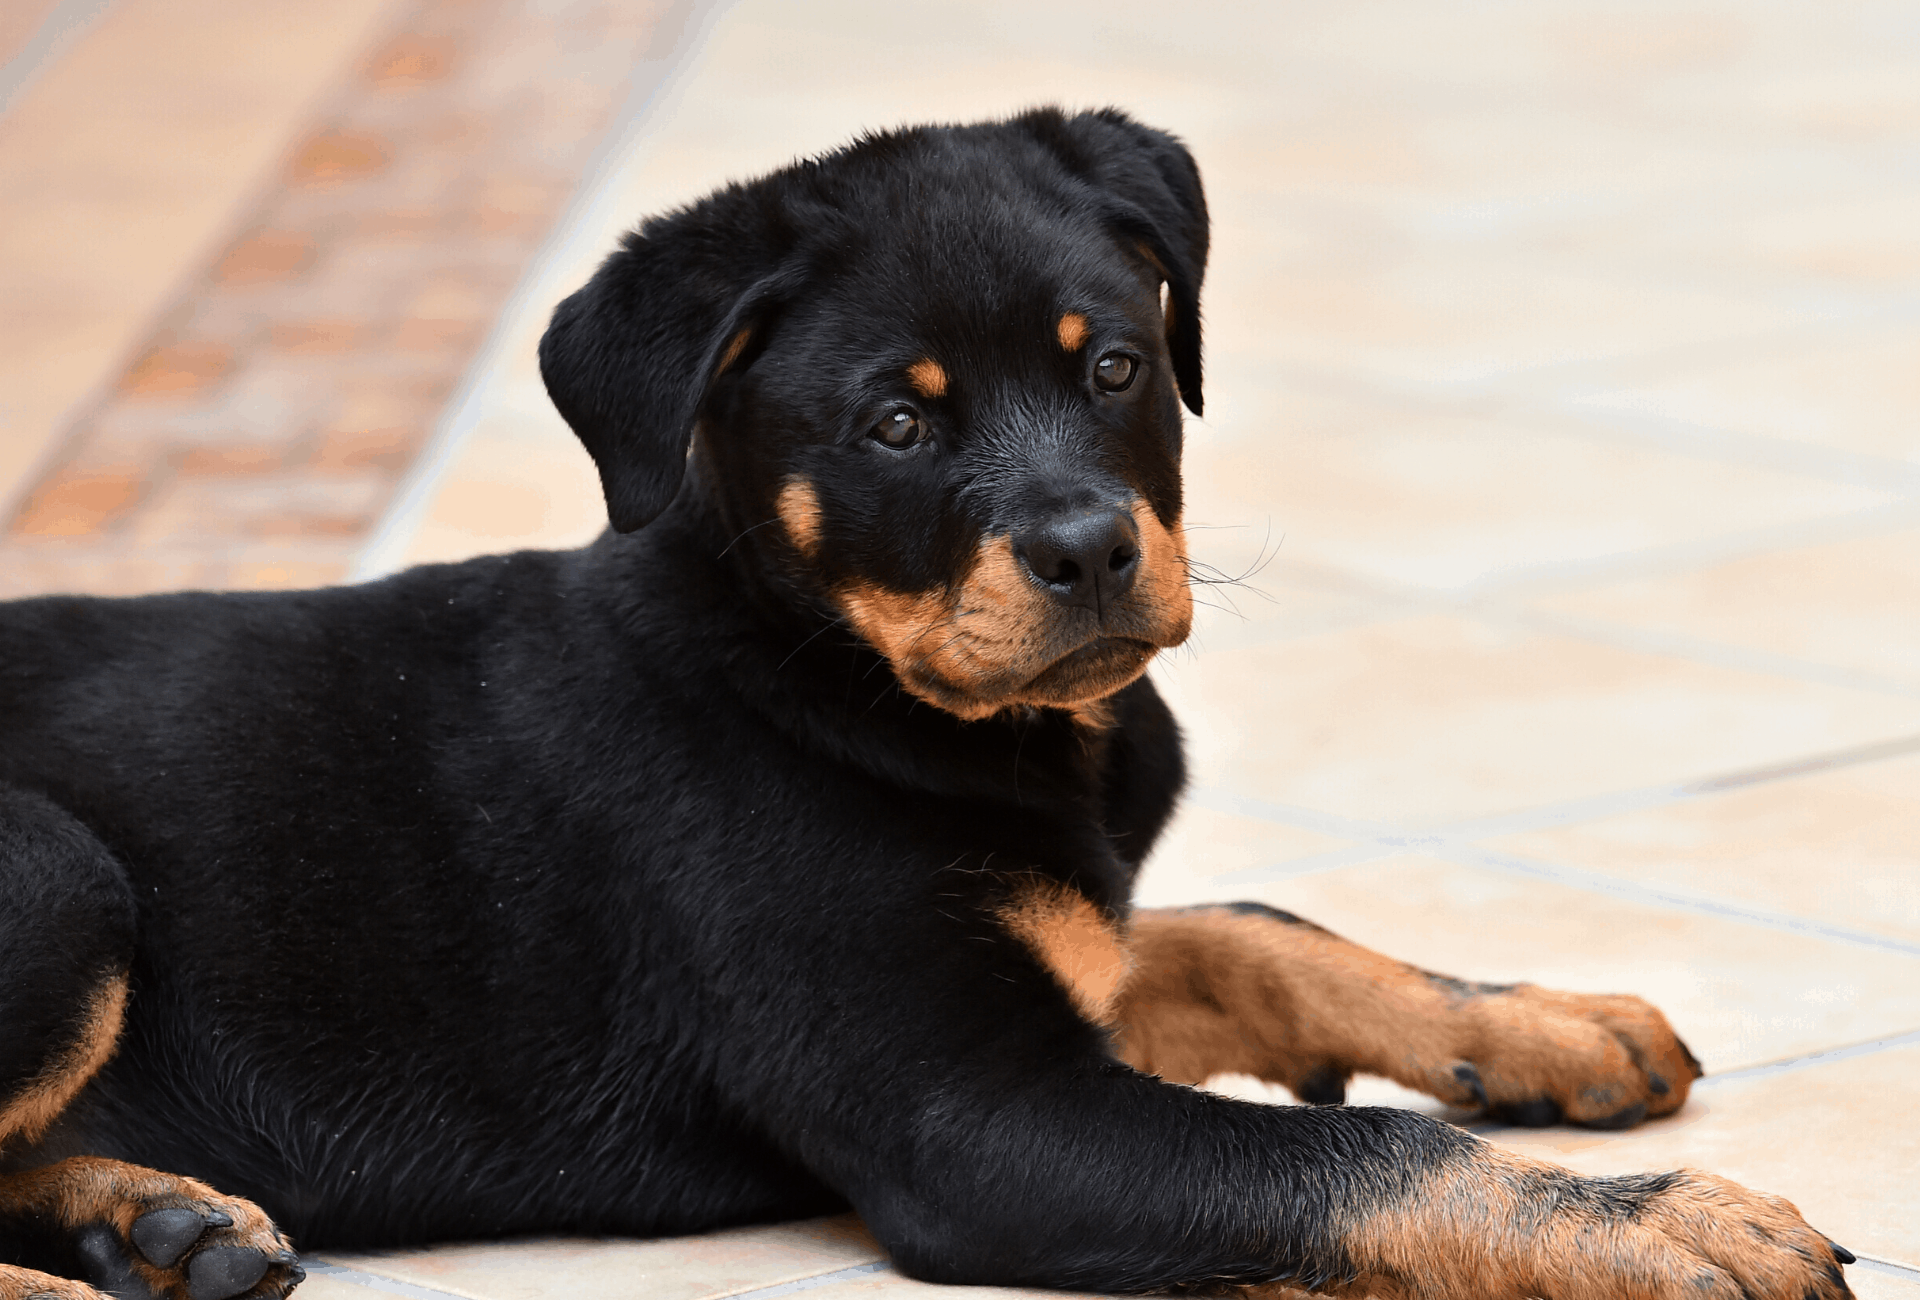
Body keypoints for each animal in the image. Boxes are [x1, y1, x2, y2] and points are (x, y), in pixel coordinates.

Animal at [3, 111, 1858, 1298]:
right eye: (896, 425)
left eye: (1113, 363)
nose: (1091, 551)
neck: (833, 677)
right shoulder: (970, 1115)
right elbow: (1359, 1163)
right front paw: (1665, 1223)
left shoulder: (1057, 938)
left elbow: (1257, 931)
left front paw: (1546, 1022)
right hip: (63, 876)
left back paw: (152, 1229)